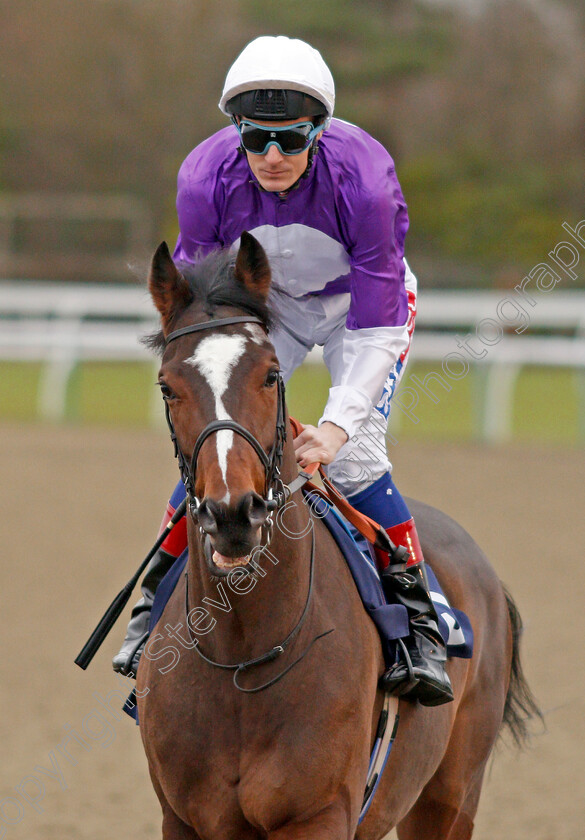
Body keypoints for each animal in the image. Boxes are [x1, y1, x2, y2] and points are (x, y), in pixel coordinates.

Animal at [136, 233, 540, 840]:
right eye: (167, 386)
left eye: (270, 374)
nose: (233, 514)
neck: (241, 653)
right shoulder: (181, 817)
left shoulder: (319, 814)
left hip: (450, 795)